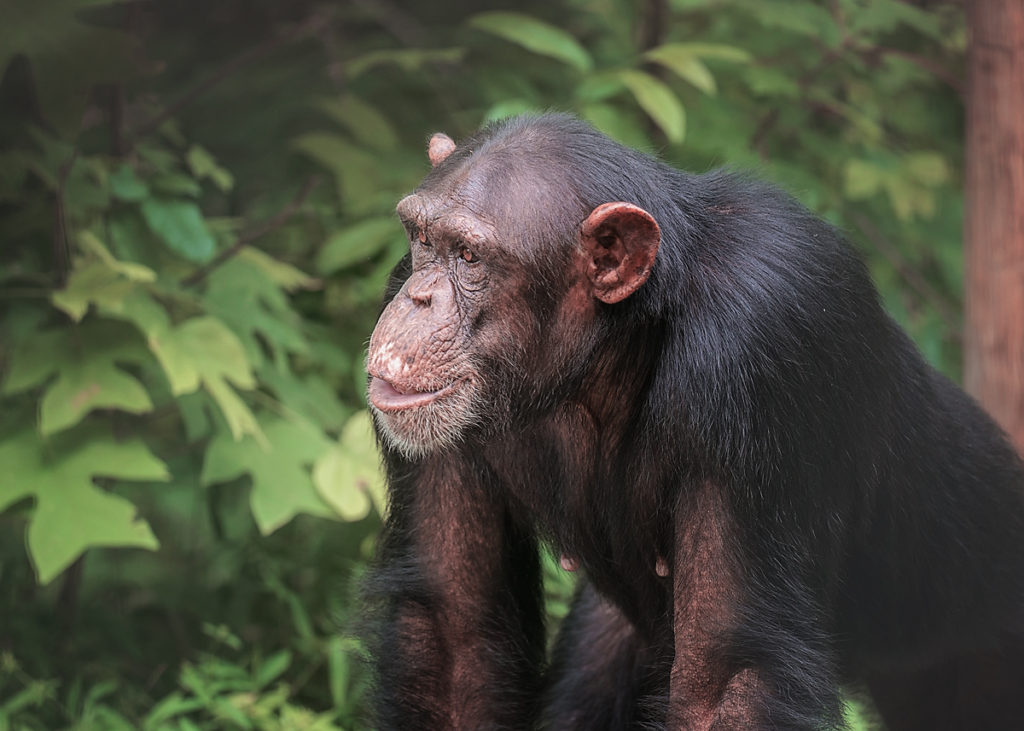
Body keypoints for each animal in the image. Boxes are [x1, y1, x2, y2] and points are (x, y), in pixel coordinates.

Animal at [362, 113, 1024, 728]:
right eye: (421, 241)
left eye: (469, 255)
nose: (418, 298)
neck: (615, 345)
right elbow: (455, 636)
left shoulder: (768, 331)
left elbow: (723, 679)